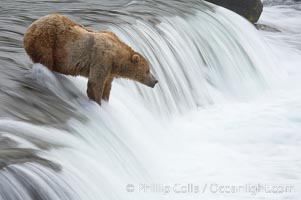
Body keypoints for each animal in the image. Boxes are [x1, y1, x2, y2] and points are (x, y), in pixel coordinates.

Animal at [23, 13, 157, 104]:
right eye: (148, 70)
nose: (155, 81)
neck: (117, 59)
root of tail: (30, 26)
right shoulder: (102, 58)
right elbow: (95, 83)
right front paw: (97, 102)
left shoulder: (110, 70)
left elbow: (107, 86)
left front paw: (105, 100)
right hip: (45, 42)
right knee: (45, 60)